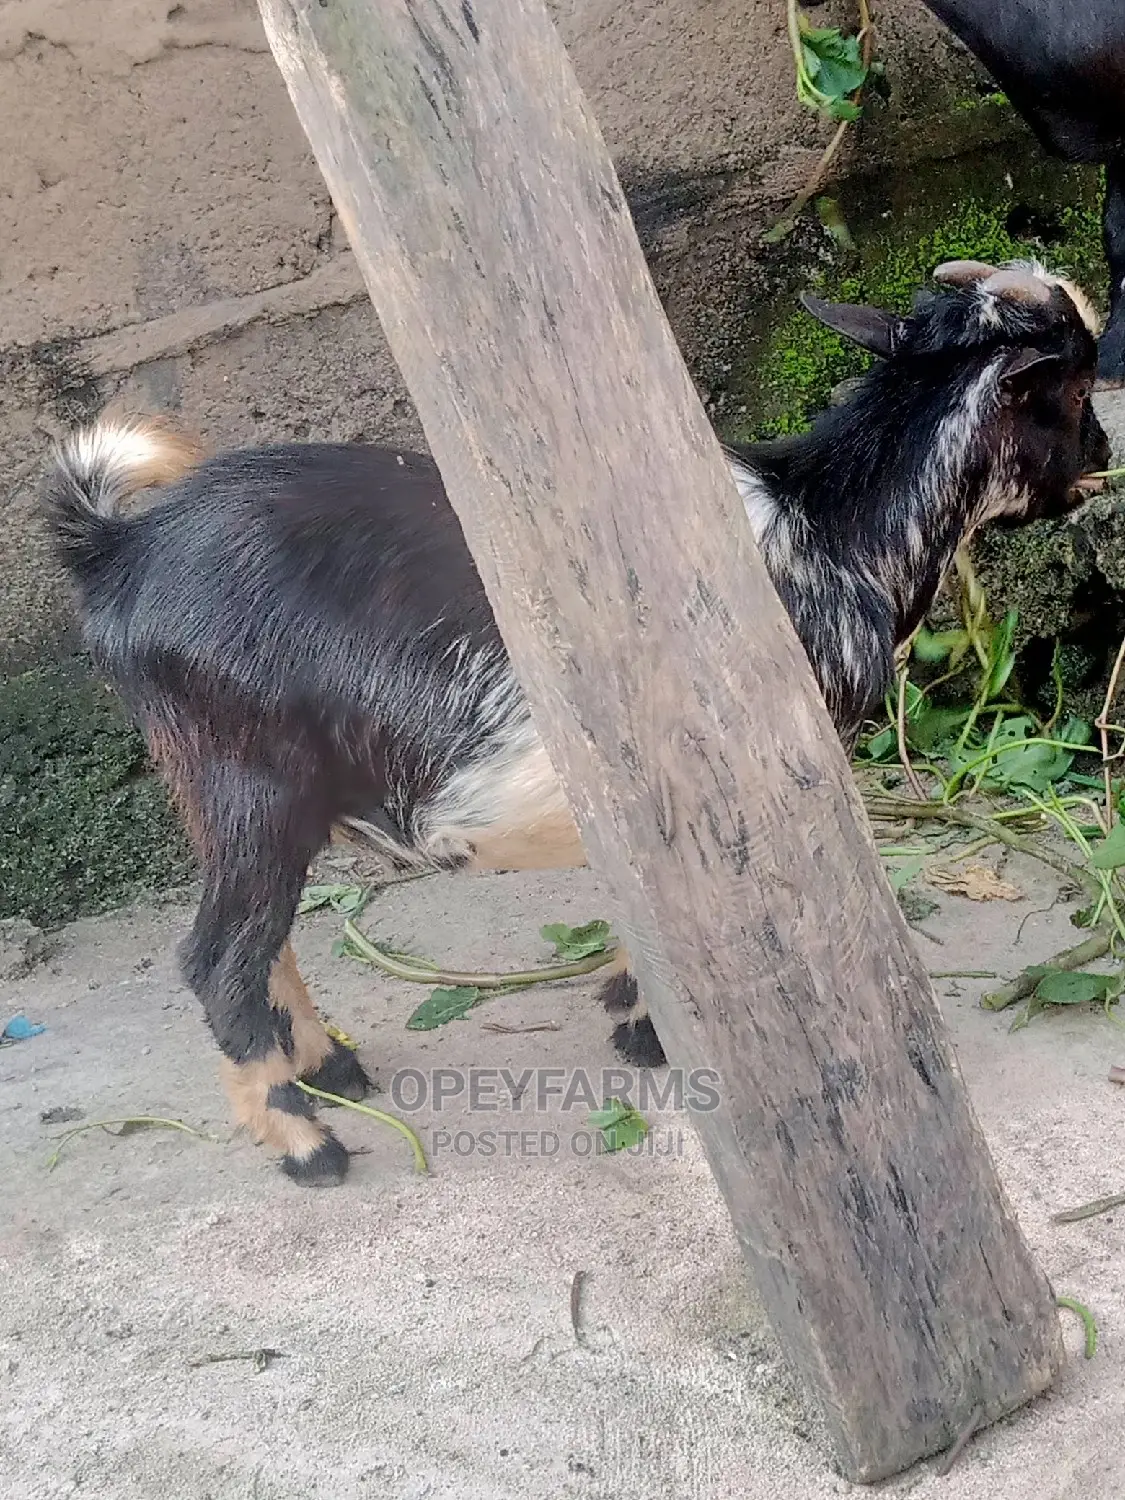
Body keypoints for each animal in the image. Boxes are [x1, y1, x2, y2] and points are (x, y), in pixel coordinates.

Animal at [44, 259, 1108, 1185]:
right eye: (1070, 384)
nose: (1102, 459)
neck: (828, 529)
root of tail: (117, 548)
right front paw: (657, 1030)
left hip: (245, 797)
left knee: (266, 939)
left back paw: (327, 1067)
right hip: (247, 777)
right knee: (219, 958)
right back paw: (306, 1144)